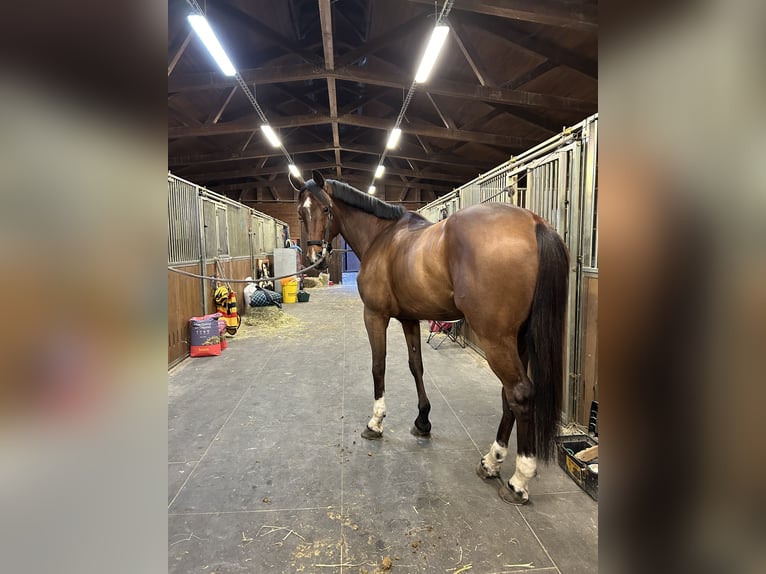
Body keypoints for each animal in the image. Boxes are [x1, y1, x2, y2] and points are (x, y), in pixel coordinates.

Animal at [290, 170, 569, 504]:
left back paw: (519, 481)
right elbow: (416, 367)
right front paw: (422, 421)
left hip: (496, 339)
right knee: (508, 397)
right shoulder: (409, 319)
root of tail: (534, 222)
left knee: (520, 394)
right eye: (300, 213)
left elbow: (378, 366)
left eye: (326, 209)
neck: (382, 238)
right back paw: (491, 461)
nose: (315, 256)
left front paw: (376, 423)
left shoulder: (375, 315)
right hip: (519, 339)